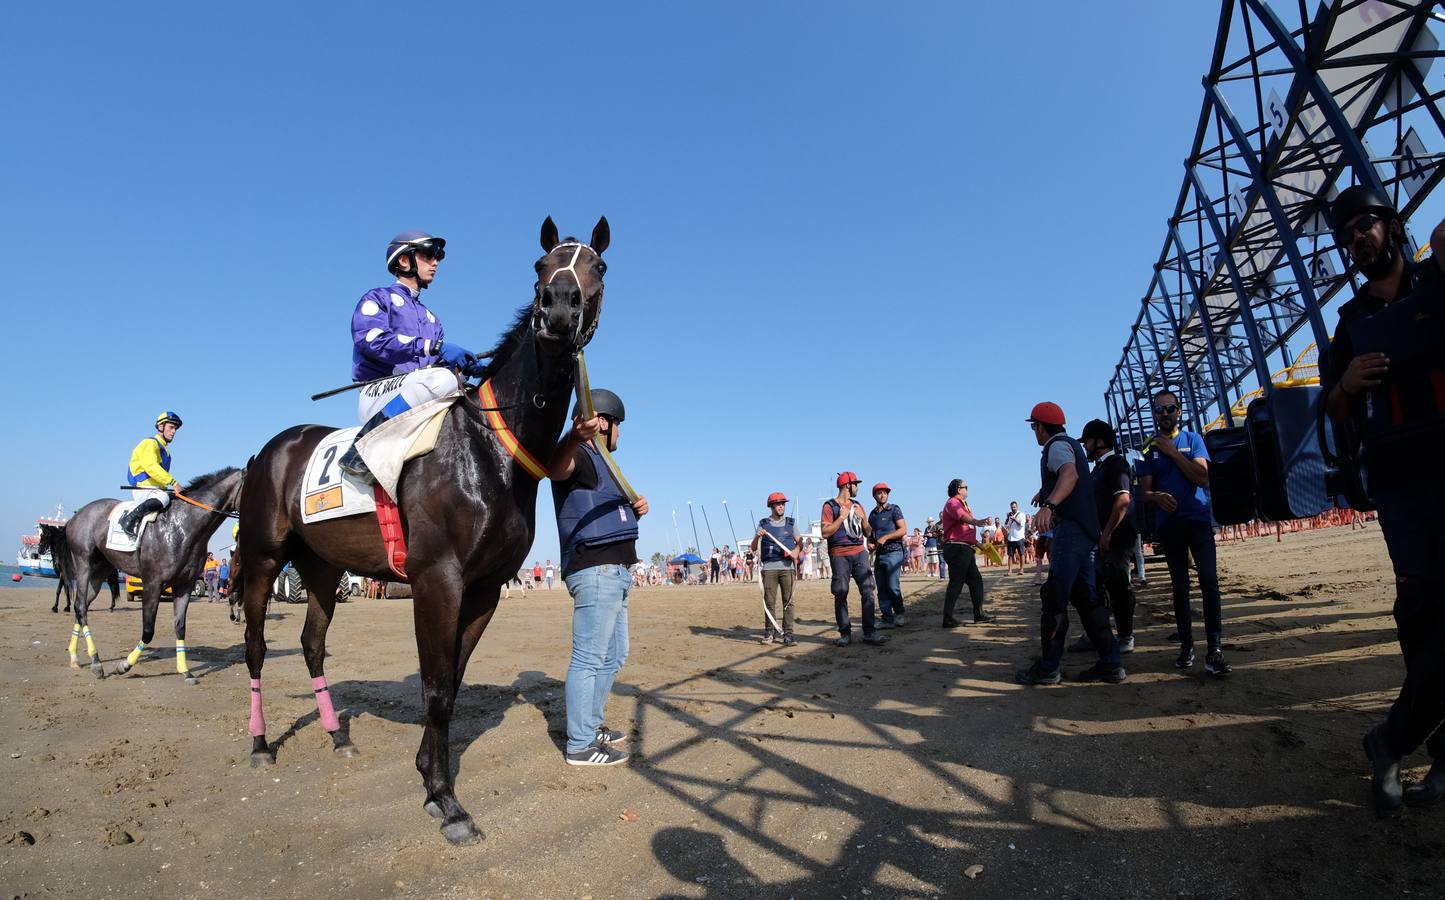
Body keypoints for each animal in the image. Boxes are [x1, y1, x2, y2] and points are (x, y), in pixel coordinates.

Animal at [241, 216, 609, 843]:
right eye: (540, 265)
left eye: (598, 266)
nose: (557, 308)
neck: (489, 451)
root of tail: (271, 448)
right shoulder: (437, 579)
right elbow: (435, 689)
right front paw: (446, 799)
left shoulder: (484, 589)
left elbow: (452, 684)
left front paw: (431, 778)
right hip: (265, 559)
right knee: (257, 646)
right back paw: (262, 744)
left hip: (322, 568)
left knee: (312, 644)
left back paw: (337, 736)